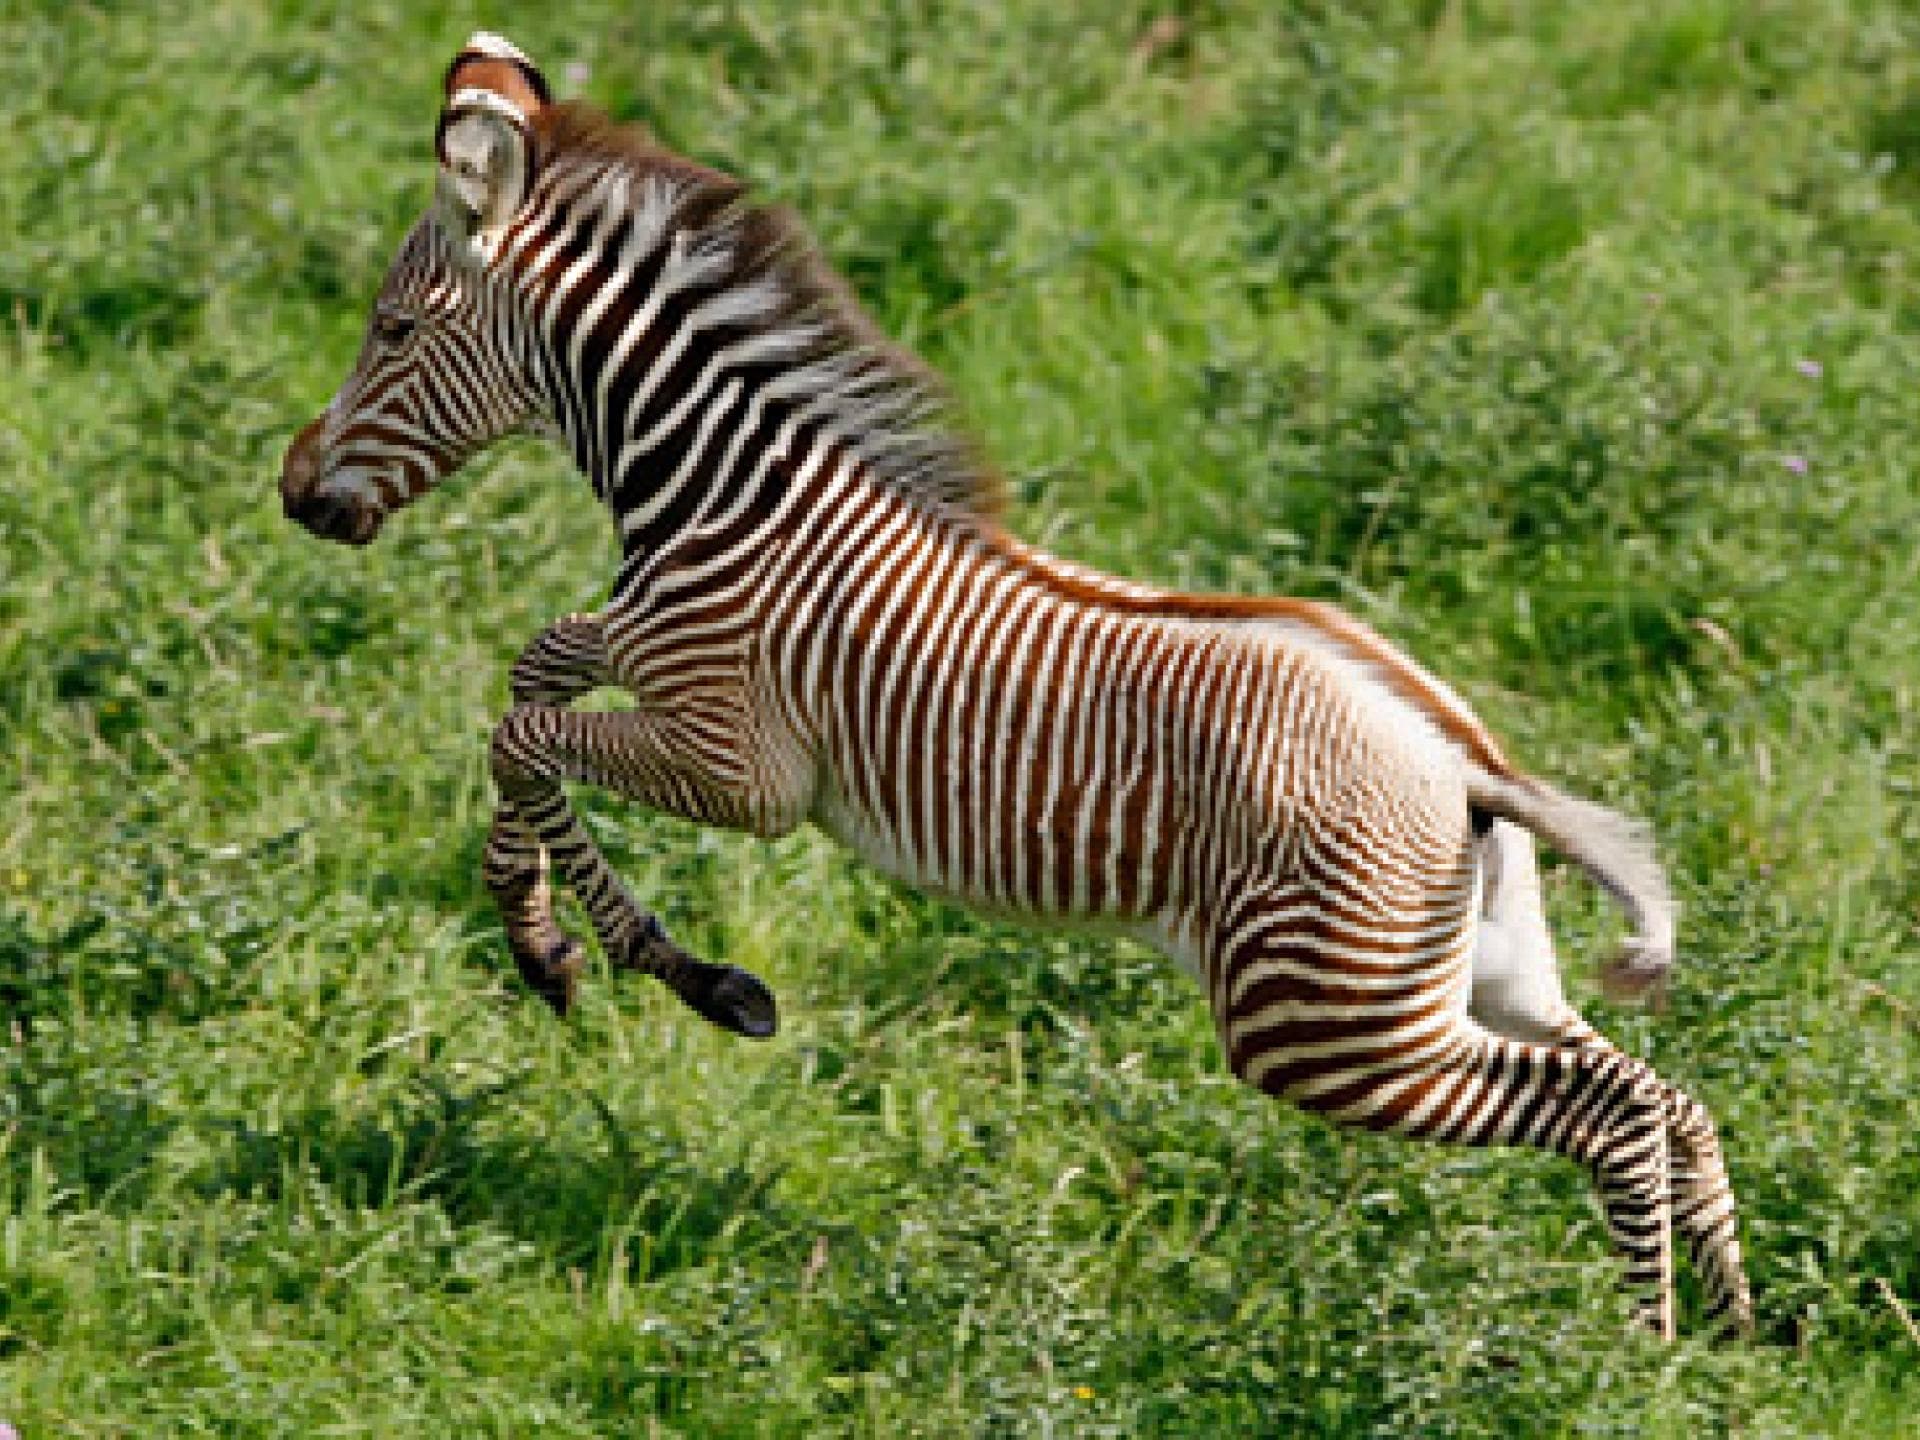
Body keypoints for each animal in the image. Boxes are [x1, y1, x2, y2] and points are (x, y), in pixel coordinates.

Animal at [279, 32, 1753, 1339]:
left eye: (392, 328)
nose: (296, 495)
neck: (719, 496)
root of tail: (1462, 759)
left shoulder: (744, 768)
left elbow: (520, 728)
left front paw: (626, 963)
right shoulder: (643, 653)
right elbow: (533, 676)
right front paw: (562, 939)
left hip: (1324, 1018)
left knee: (1608, 1114)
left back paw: (1632, 1362)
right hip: (1469, 978)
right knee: (1666, 1099)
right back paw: (1737, 1345)